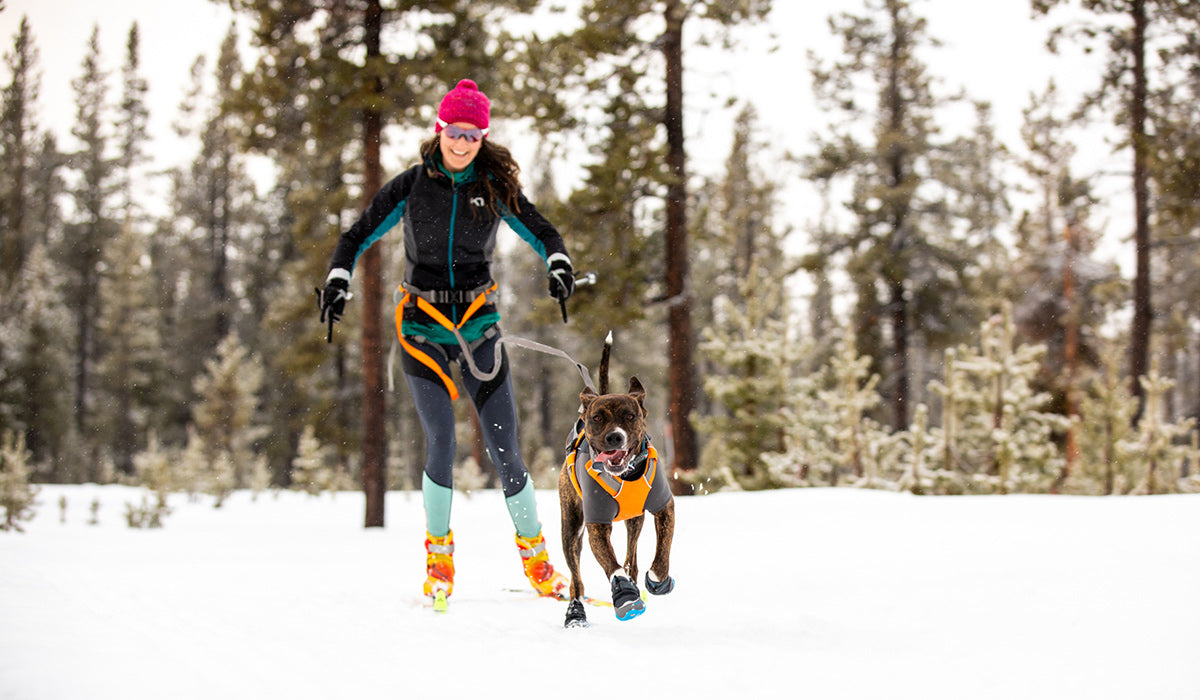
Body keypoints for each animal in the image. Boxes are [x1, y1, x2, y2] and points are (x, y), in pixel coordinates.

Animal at [554, 333, 672, 629]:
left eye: (630, 416)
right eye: (597, 418)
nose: (614, 437)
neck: (626, 474)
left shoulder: (664, 506)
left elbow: (662, 549)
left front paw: (658, 578)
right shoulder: (596, 524)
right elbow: (610, 562)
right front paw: (625, 595)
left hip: (634, 520)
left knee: (631, 554)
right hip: (570, 527)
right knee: (576, 578)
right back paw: (575, 612)